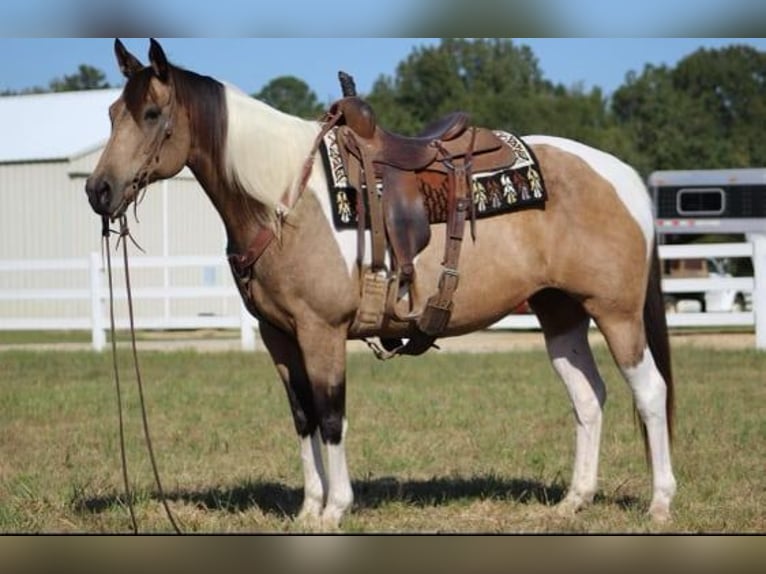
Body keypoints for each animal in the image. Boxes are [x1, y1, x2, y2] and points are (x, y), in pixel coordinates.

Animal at [85, 39, 676, 527]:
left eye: (152, 113)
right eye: (113, 113)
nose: (99, 190)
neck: (284, 199)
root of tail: (623, 176)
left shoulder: (321, 331)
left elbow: (330, 415)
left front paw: (335, 509)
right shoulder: (280, 336)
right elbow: (302, 417)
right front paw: (308, 509)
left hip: (616, 313)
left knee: (649, 392)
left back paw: (660, 503)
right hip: (559, 313)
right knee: (588, 397)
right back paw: (575, 500)